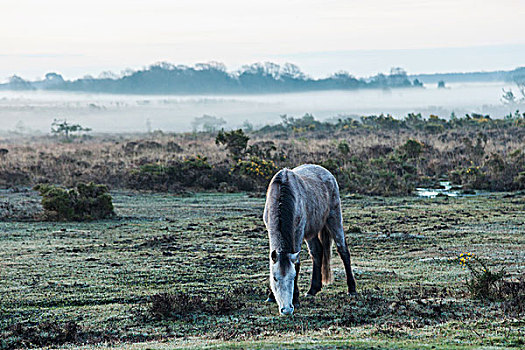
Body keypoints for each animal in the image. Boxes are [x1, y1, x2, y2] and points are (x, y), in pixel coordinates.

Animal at [262, 163, 356, 314]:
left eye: (293, 277)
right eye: (275, 278)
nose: (286, 309)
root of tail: (326, 172)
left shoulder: (298, 232)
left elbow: (297, 263)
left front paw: (295, 299)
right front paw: (271, 296)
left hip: (334, 219)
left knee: (343, 251)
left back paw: (352, 289)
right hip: (311, 233)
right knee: (317, 252)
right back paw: (313, 290)